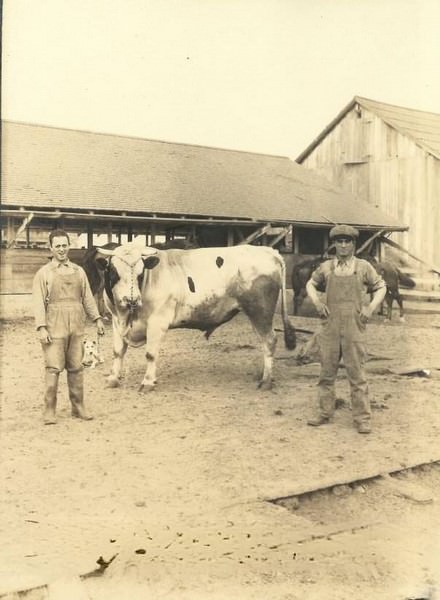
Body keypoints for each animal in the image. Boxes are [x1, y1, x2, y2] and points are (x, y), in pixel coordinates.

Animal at [96, 241, 296, 392]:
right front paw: (113, 378)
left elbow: (150, 354)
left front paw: (147, 382)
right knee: (264, 343)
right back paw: (262, 374)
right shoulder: (116, 321)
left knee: (269, 341)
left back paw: (266, 381)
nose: (131, 300)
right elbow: (118, 352)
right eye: (113, 272)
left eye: (140, 274)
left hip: (260, 312)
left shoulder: (157, 322)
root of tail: (269, 251)